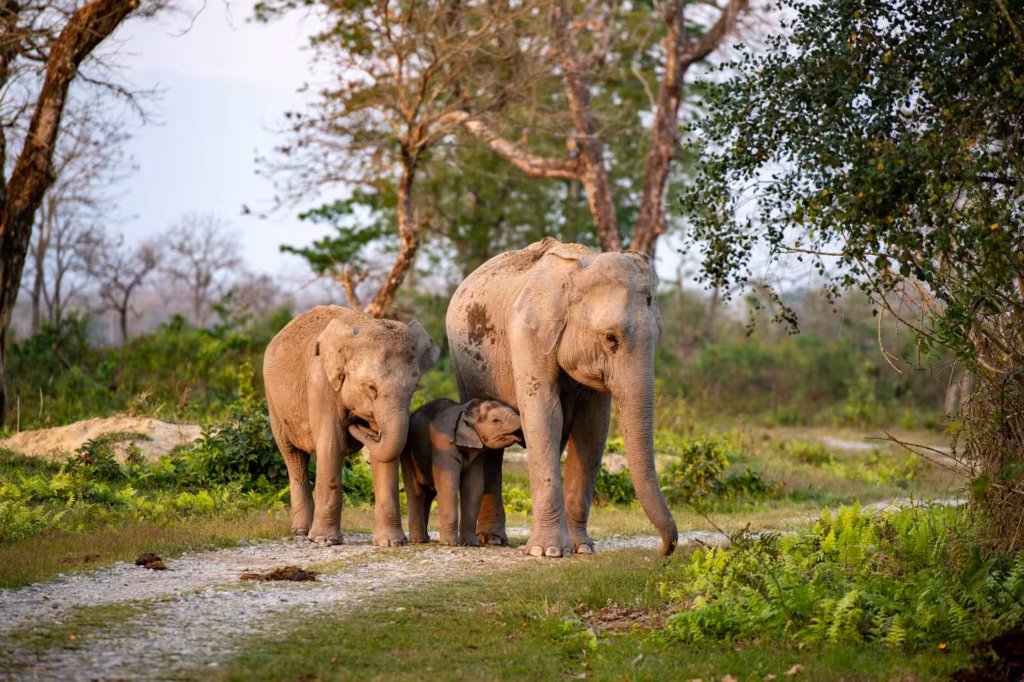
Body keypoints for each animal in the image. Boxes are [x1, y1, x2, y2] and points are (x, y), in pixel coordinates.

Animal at [263, 305, 440, 546]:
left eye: (414, 388)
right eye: (371, 388)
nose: (356, 425)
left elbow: (385, 455)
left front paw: (391, 543)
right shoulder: (321, 384)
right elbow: (331, 445)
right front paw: (324, 541)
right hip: (274, 404)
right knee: (293, 456)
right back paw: (302, 532)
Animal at [401, 398, 523, 546]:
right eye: (495, 420)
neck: (468, 409)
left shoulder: (478, 451)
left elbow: (474, 486)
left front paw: (471, 544)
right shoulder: (443, 443)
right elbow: (448, 484)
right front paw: (449, 544)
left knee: (429, 494)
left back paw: (425, 539)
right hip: (408, 454)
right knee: (416, 491)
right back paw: (418, 540)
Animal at [445, 237, 679, 558]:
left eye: (658, 336)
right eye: (610, 338)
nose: (661, 549)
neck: (579, 269)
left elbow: (591, 429)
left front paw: (582, 548)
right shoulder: (527, 335)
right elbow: (545, 415)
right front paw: (549, 552)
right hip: (463, 365)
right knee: (489, 446)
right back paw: (492, 540)